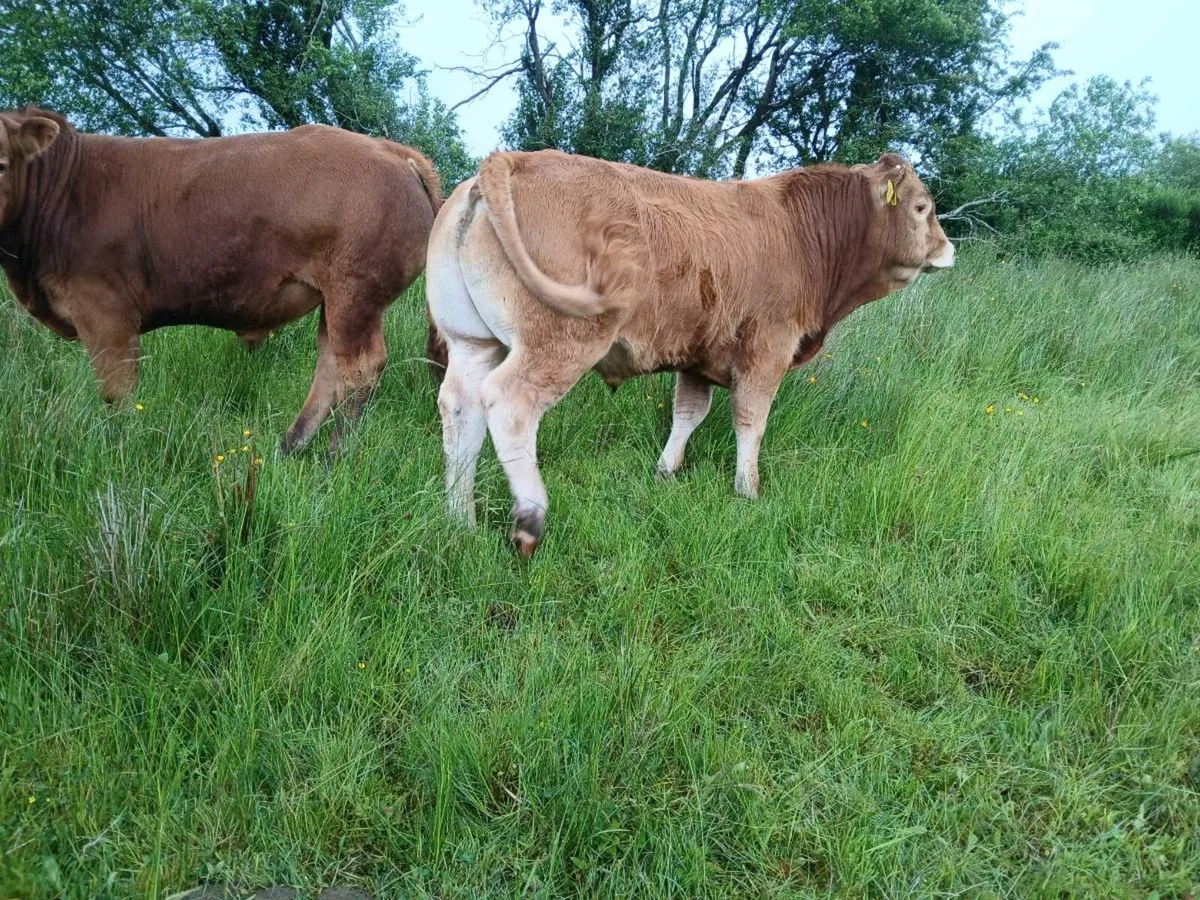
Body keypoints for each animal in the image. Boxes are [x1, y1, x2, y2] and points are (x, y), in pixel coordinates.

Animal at [0, 107, 441, 454]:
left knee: (360, 368)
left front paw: (121, 446)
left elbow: (117, 391)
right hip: (335, 302)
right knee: (330, 367)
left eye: (2, 163)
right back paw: (290, 446)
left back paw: (335, 454)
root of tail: (391, 150)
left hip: (355, 295)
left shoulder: (105, 314)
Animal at [427, 149, 955, 558]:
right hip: (559, 340)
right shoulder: (768, 348)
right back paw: (529, 519)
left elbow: (688, 414)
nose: (948, 250)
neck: (800, 233)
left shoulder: (699, 357)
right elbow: (751, 420)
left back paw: (459, 519)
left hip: (472, 343)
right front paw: (748, 491)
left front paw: (665, 472)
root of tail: (512, 159)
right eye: (922, 207)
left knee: (461, 408)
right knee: (508, 404)